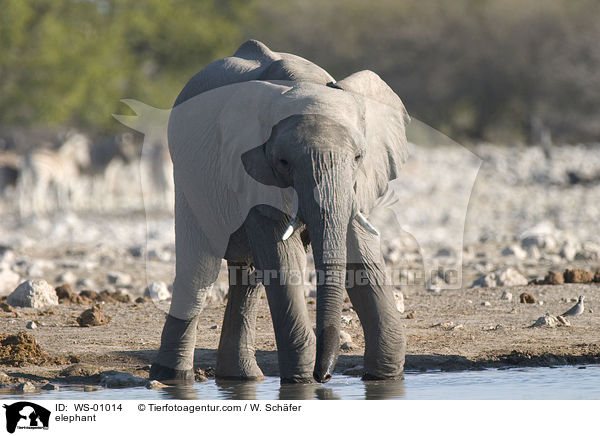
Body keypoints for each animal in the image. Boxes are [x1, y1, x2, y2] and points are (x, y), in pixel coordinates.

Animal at [151, 39, 408, 384]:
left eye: (358, 157)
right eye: (284, 162)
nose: (324, 376)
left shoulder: (357, 184)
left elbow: (360, 253)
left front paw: (384, 377)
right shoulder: (252, 170)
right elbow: (284, 259)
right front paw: (301, 381)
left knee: (247, 276)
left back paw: (242, 378)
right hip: (188, 182)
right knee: (199, 271)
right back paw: (171, 377)